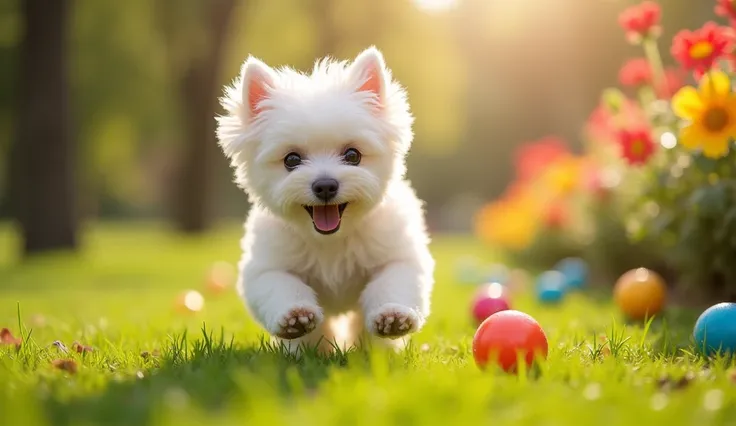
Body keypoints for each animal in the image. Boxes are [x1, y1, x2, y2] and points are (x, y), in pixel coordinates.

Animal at [214, 45, 432, 352]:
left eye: (353, 155)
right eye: (291, 160)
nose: (326, 185)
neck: (331, 242)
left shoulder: (398, 257)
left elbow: (392, 283)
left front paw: (393, 316)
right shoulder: (266, 267)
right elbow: (281, 286)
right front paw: (295, 318)